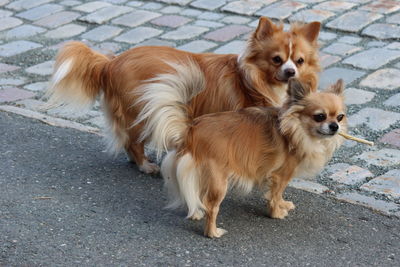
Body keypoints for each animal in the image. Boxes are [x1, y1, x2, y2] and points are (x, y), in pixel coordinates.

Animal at [45, 17, 320, 175]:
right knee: (133, 142)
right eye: (276, 59)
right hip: (142, 112)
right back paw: (146, 166)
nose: (291, 72)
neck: (256, 80)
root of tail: (110, 63)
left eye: (299, 61)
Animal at [139, 77, 346, 239]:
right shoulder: (281, 176)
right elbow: (274, 195)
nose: (334, 126)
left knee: (193, 193)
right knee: (211, 207)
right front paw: (276, 213)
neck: (295, 130)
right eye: (319, 117)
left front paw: (283, 204)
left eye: (340, 117)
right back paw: (212, 232)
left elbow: (278, 195)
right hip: (218, 182)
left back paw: (196, 212)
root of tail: (190, 131)